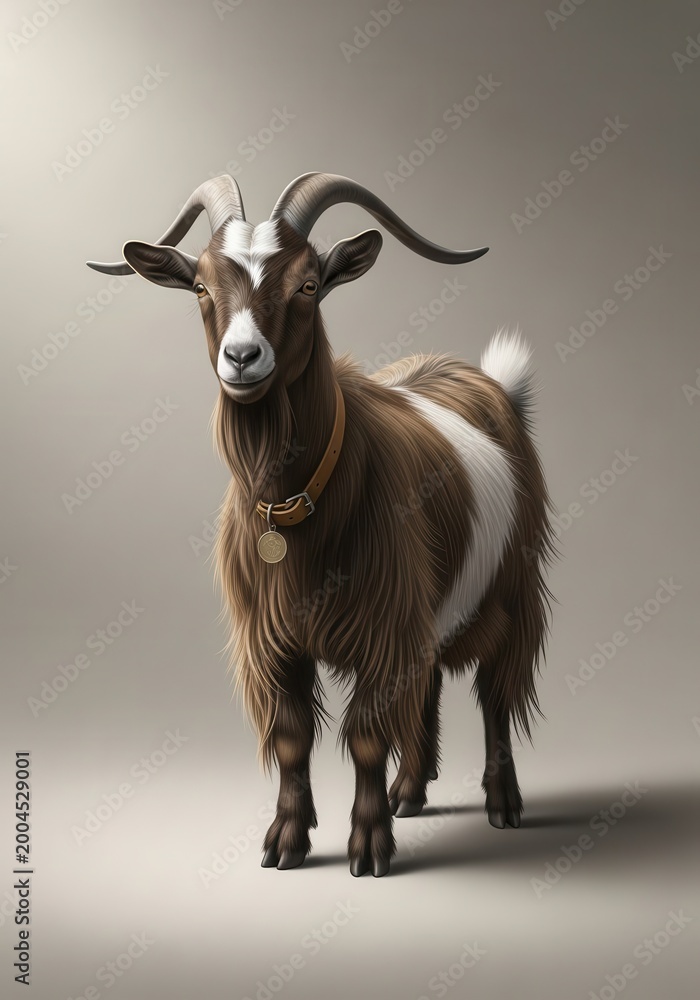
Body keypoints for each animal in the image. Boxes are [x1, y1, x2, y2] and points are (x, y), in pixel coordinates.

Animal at [88, 173, 555, 877]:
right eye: (200, 286)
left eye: (308, 284)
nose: (242, 357)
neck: (294, 507)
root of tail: (490, 383)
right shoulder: (274, 637)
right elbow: (290, 736)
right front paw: (286, 839)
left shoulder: (383, 623)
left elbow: (364, 734)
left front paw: (368, 845)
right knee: (425, 687)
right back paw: (410, 793)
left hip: (509, 591)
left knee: (494, 692)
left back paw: (501, 802)